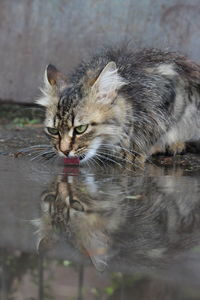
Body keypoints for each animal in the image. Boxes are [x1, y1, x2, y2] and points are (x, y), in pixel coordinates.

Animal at [36, 46, 200, 168]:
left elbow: (157, 128)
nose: (64, 151)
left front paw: (137, 150)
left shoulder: (172, 96)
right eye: (53, 130)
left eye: (81, 129)